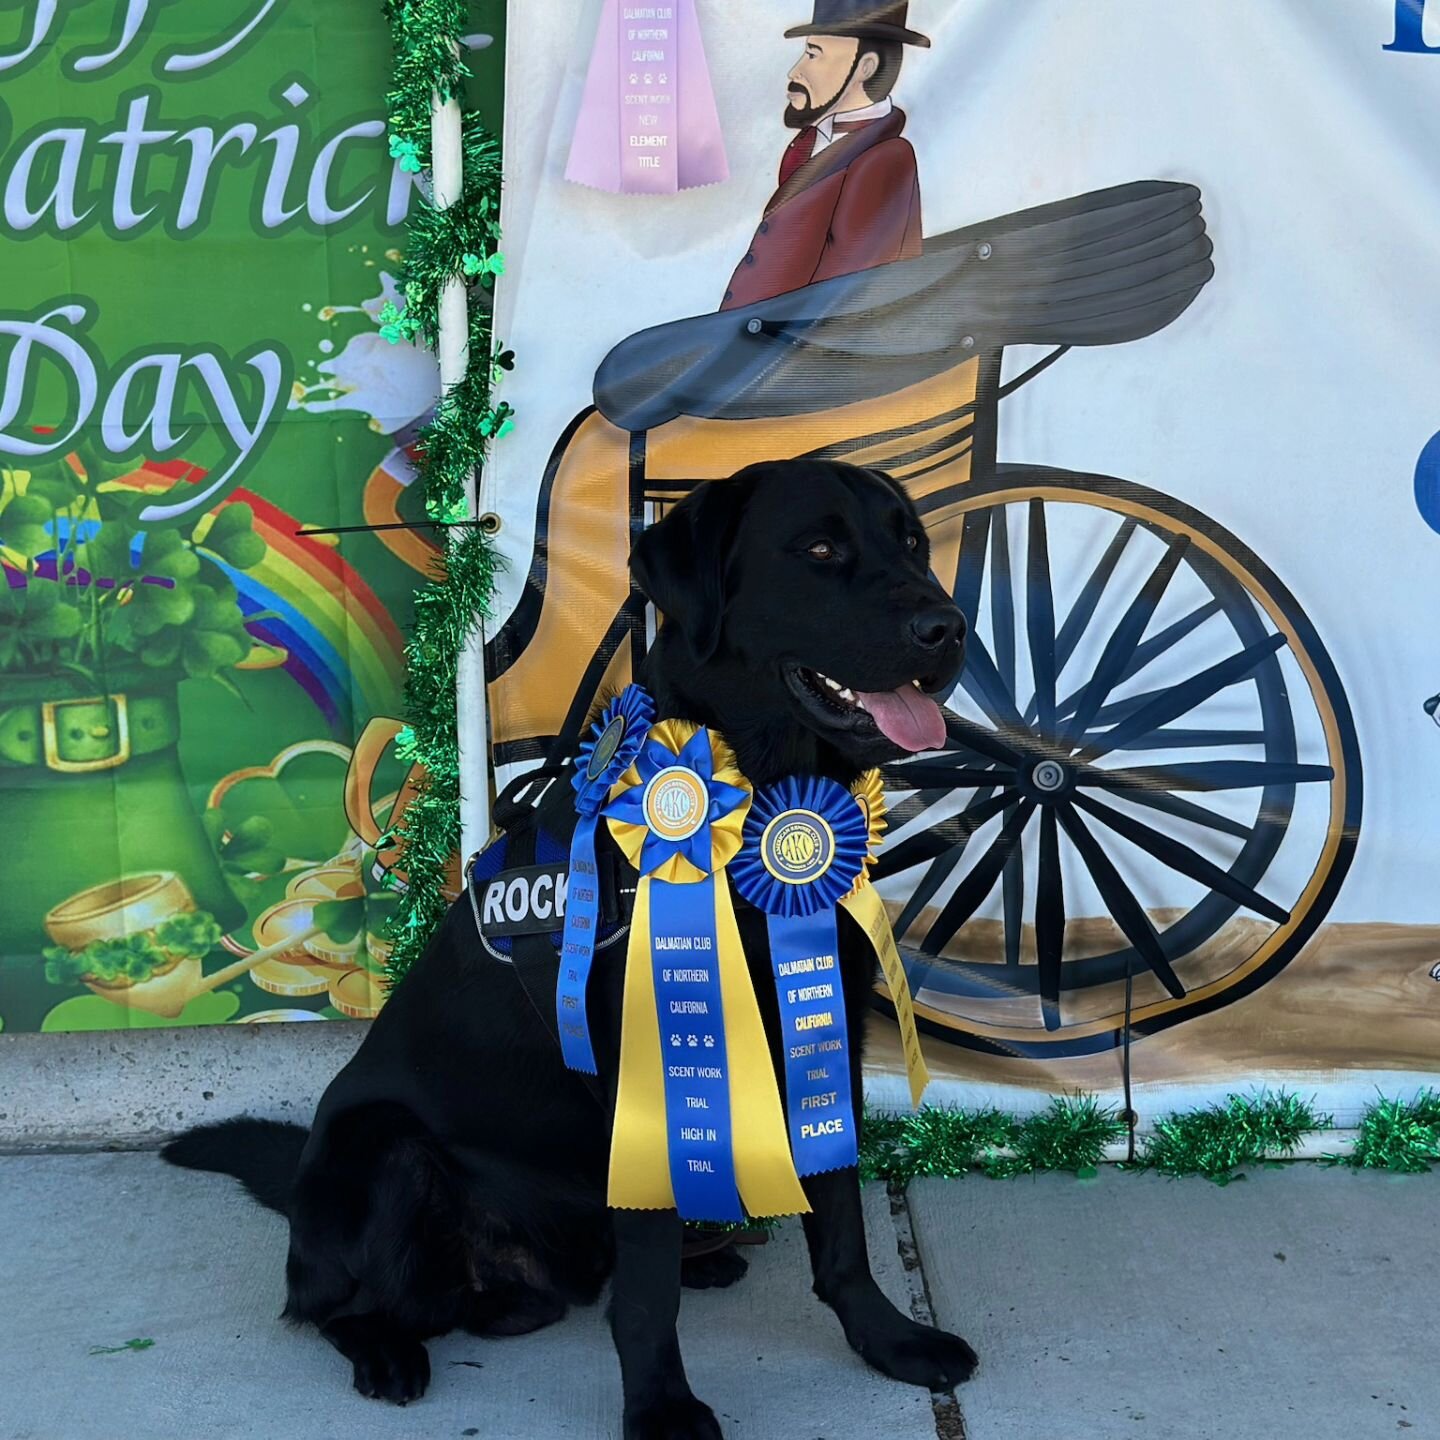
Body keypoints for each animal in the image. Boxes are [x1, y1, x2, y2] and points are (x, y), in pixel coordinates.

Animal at [165, 455, 979, 1434]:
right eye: (819, 550)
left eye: (913, 543)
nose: (949, 627)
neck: (759, 797)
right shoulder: (646, 1074)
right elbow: (646, 1296)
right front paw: (662, 1406)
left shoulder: (827, 1032)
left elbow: (843, 1228)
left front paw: (888, 1341)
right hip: (383, 1152)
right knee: (337, 1307)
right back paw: (388, 1351)